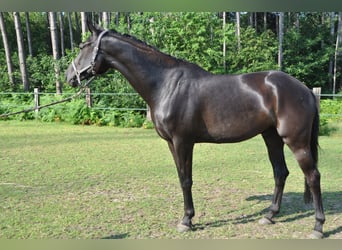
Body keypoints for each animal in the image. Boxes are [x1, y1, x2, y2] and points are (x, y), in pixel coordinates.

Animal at [65, 21, 324, 238]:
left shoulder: (183, 141)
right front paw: (187, 218)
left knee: (313, 176)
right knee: (280, 173)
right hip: (271, 137)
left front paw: (186, 221)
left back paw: (318, 227)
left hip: (296, 141)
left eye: (83, 46)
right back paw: (269, 216)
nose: (69, 77)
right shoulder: (171, 143)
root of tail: (304, 90)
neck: (166, 84)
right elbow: (182, 177)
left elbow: (186, 180)